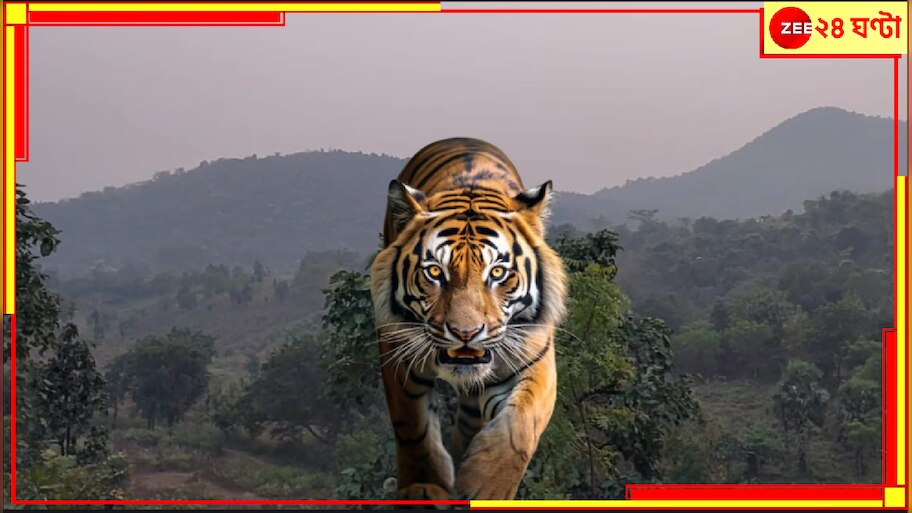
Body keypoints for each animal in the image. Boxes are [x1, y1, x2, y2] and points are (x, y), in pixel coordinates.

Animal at [369, 138, 568, 501]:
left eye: (498, 273)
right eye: (435, 272)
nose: (465, 333)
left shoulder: (536, 362)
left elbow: (520, 426)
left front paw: (484, 487)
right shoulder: (398, 357)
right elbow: (414, 429)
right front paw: (424, 489)